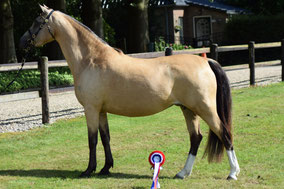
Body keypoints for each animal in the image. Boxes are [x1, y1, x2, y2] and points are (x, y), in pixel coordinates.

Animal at [18, 5, 240, 180]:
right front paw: (106, 168)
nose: (22, 42)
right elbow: (105, 138)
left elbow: (92, 140)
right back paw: (182, 173)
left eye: (37, 22)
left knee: (225, 133)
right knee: (196, 138)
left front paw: (89, 170)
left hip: (205, 109)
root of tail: (206, 60)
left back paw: (232, 173)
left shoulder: (91, 109)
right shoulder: (101, 111)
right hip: (188, 110)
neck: (92, 60)